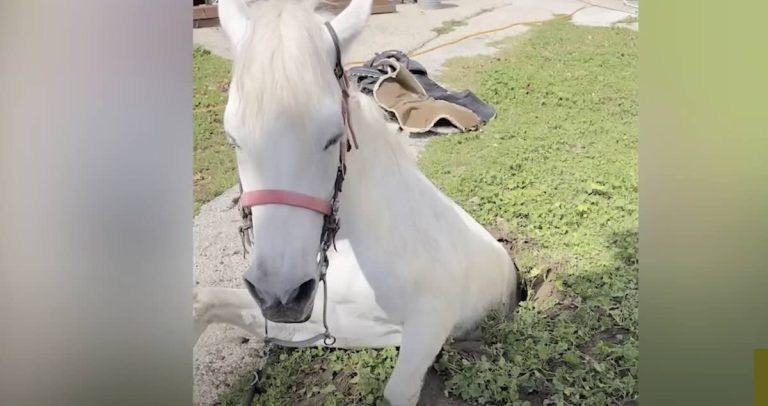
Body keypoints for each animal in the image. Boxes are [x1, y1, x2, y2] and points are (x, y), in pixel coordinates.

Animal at [193, 0, 520, 404]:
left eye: (334, 137)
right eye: (233, 138)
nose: (280, 295)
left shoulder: (432, 320)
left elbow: (397, 391)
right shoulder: (324, 326)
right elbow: (201, 302)